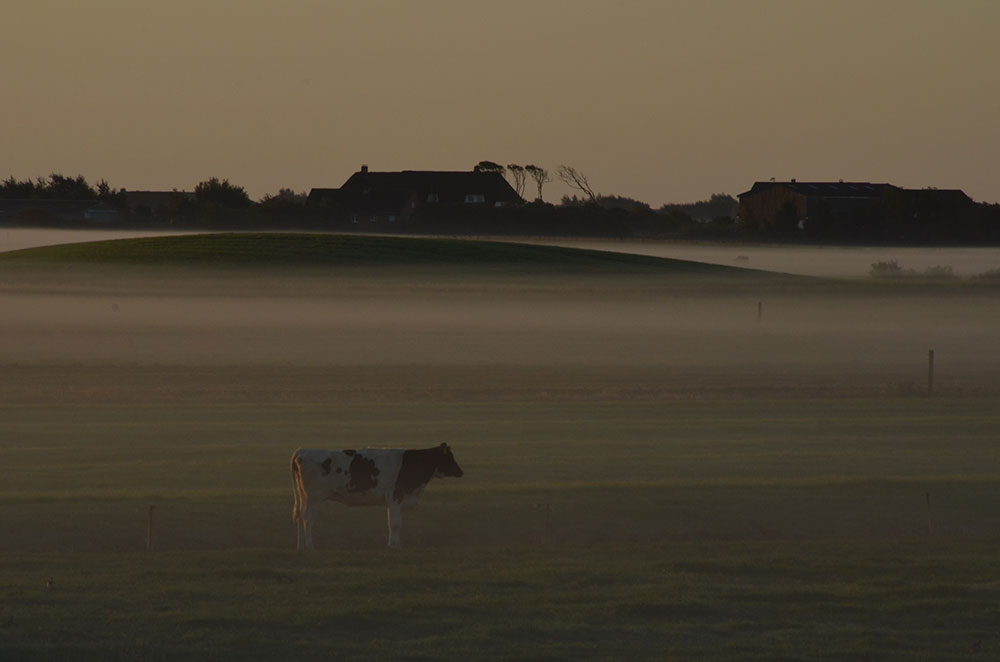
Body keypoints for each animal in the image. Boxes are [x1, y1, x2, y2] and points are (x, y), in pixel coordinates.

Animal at [288, 446, 462, 548]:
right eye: (449, 457)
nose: (461, 471)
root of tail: (302, 451)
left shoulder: (393, 502)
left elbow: (394, 523)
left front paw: (395, 543)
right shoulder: (396, 497)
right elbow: (395, 524)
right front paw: (393, 546)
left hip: (304, 497)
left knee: (300, 517)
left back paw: (301, 545)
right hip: (313, 497)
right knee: (308, 519)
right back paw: (309, 545)